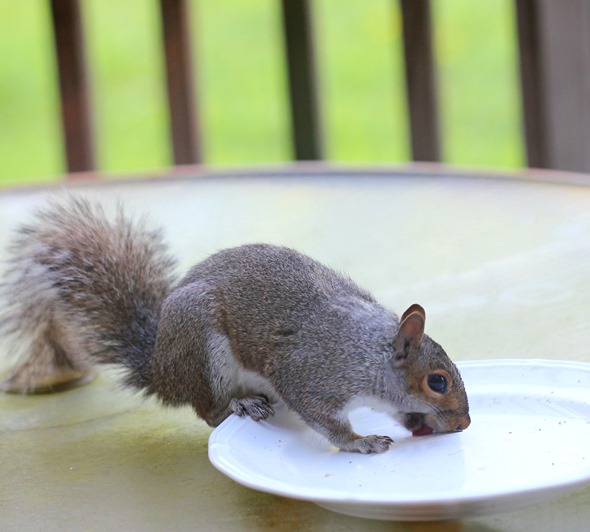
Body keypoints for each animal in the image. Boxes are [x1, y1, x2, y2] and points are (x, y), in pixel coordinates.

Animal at [0, 195, 472, 454]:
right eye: (438, 382)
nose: (464, 425)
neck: (364, 351)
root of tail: (162, 370)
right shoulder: (309, 372)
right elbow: (324, 418)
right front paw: (361, 441)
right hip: (203, 349)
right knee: (208, 412)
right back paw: (240, 405)